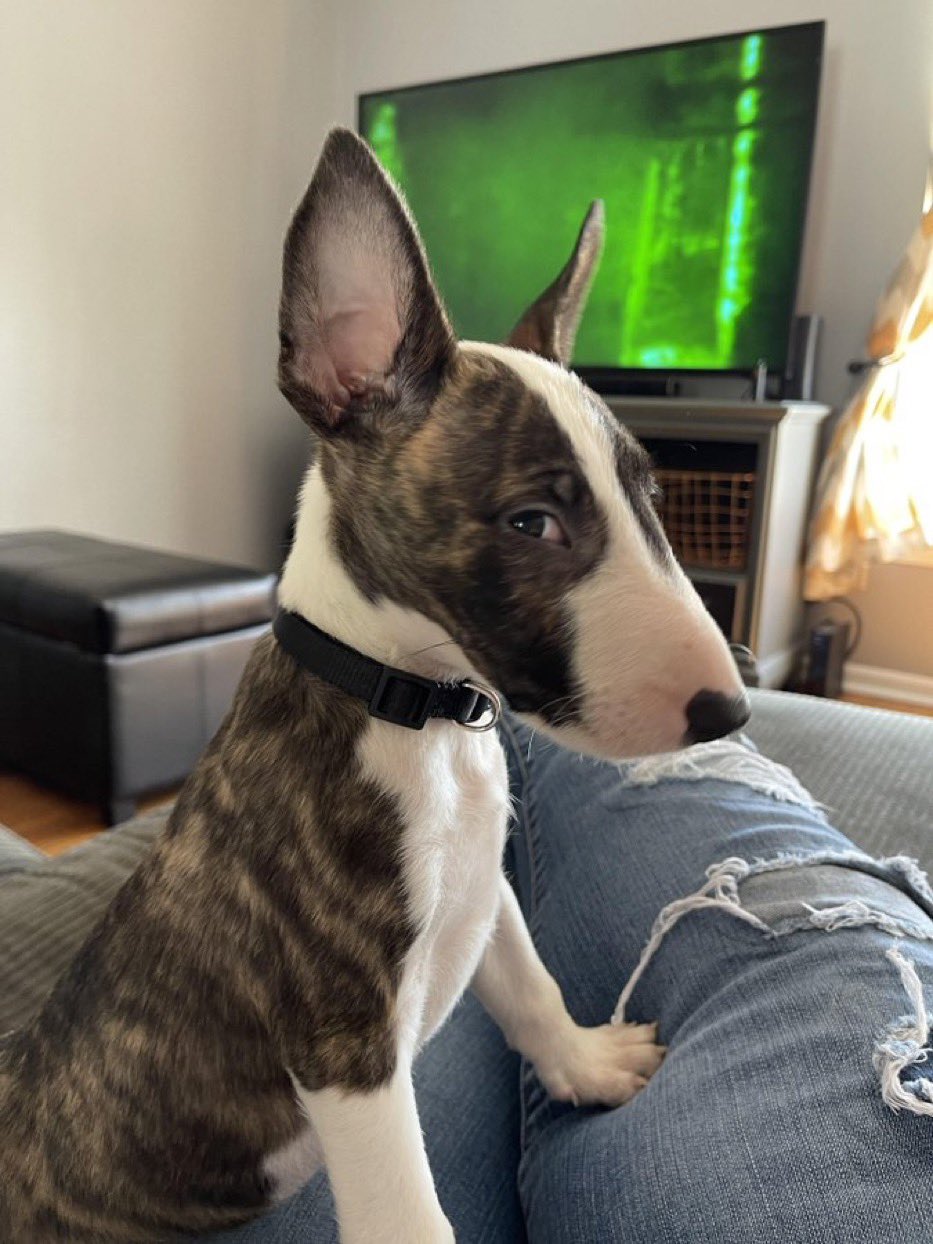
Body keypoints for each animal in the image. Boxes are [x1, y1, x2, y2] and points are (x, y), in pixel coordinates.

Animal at [0, 128, 749, 1243]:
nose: (728, 712)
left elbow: (529, 987)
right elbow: (411, 1211)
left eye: (652, 495)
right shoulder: (345, 1040)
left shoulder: (488, 890)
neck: (417, 710)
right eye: (531, 521)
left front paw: (583, 1062)